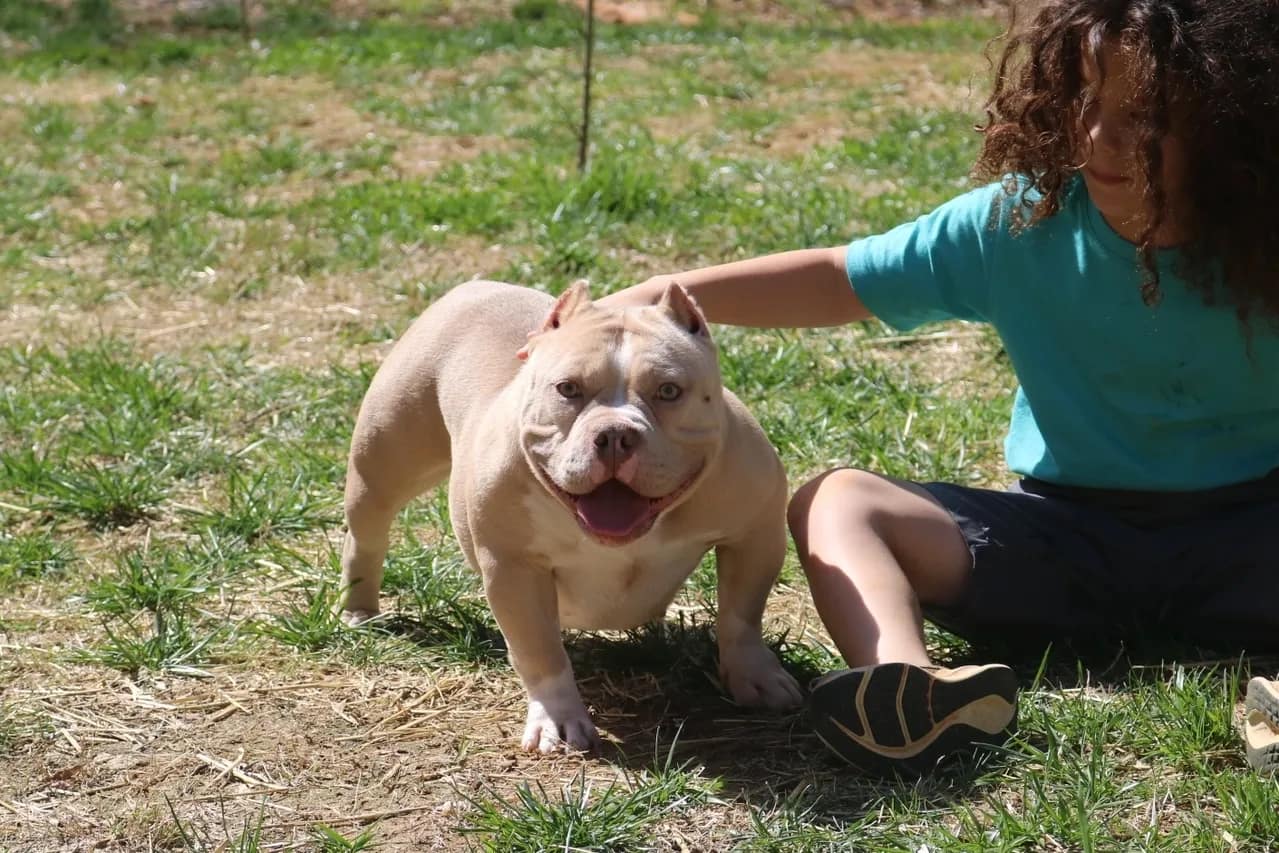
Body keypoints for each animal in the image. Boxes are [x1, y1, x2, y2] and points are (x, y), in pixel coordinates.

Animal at [340, 281, 798, 751]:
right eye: (567, 389)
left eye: (669, 391)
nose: (615, 434)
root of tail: (476, 286)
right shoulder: (515, 569)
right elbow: (541, 652)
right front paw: (557, 721)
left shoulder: (755, 533)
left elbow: (742, 617)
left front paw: (756, 678)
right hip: (383, 465)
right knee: (367, 535)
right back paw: (359, 609)